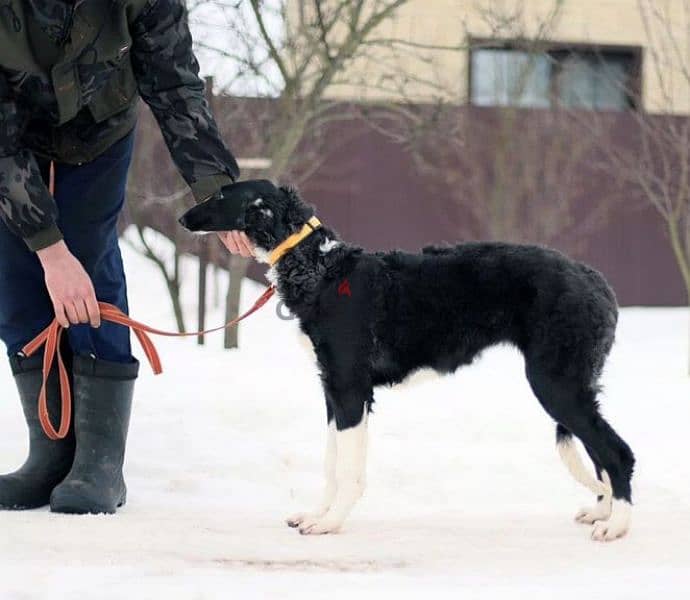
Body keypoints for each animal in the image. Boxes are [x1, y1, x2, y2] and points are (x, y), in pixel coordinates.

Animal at [179, 178, 636, 540]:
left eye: (221, 193)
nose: (182, 218)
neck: (321, 267)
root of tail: (595, 280)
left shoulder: (349, 389)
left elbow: (347, 469)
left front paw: (330, 524)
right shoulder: (333, 391)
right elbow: (331, 464)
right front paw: (316, 515)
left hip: (555, 384)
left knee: (617, 453)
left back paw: (616, 526)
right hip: (571, 388)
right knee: (601, 455)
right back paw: (602, 512)